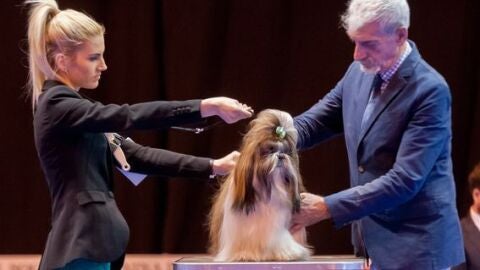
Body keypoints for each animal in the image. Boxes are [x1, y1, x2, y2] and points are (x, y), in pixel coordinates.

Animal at [208, 108, 310, 262]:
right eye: (270, 150)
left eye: (286, 151)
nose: (281, 156)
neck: (269, 190)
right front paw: (243, 254)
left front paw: (286, 253)